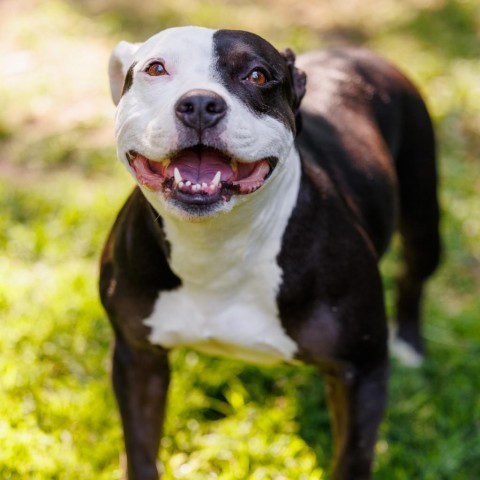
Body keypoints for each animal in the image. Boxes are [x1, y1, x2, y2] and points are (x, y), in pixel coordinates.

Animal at [99, 27, 440, 480]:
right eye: (156, 68)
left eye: (258, 75)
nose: (200, 104)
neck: (218, 245)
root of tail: (359, 54)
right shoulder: (138, 358)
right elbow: (140, 448)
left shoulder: (361, 371)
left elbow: (352, 457)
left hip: (423, 214)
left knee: (413, 274)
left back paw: (410, 344)